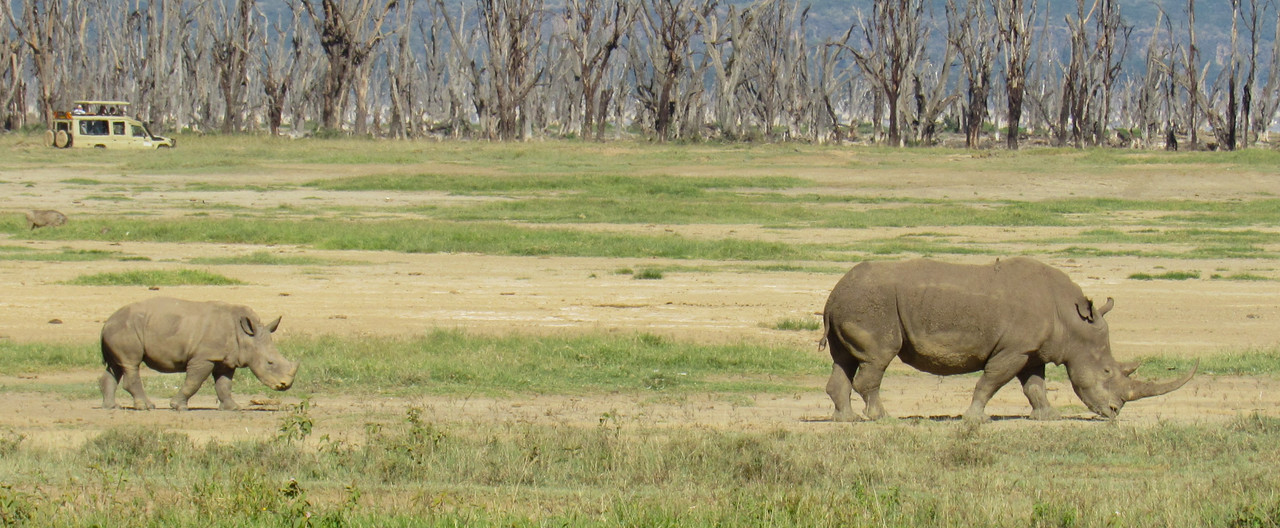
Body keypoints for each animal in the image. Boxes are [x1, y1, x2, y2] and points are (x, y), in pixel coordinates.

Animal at [100, 298, 299, 410]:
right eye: (270, 363)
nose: (285, 385)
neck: (245, 337)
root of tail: (108, 320)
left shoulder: (225, 359)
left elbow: (224, 384)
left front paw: (233, 408)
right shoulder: (204, 357)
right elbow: (194, 382)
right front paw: (178, 406)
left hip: (120, 328)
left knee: (115, 367)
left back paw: (112, 407)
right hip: (126, 328)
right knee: (131, 363)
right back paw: (147, 407)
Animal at [824, 257, 1192, 422]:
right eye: (1106, 373)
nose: (1114, 412)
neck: (1071, 321)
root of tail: (834, 292)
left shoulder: (1032, 351)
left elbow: (1034, 386)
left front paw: (1047, 417)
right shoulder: (1014, 349)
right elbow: (990, 381)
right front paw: (976, 419)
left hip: (853, 301)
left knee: (844, 359)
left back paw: (846, 419)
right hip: (871, 305)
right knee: (877, 358)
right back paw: (881, 418)